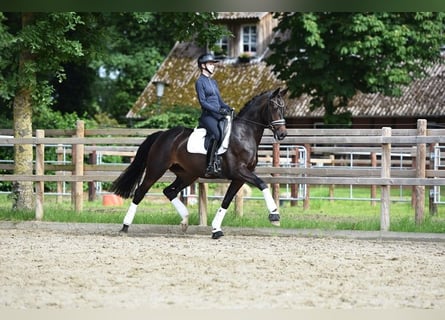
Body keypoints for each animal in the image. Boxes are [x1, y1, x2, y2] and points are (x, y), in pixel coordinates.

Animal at [109, 86, 286, 239]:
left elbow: (227, 200)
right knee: (140, 192)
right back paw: (125, 226)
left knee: (169, 191)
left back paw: (185, 220)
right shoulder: (239, 171)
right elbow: (262, 184)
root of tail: (162, 135)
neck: (244, 133)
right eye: (273, 107)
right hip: (156, 169)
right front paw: (275, 216)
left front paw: (216, 229)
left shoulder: (239, 178)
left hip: (187, 175)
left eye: (283, 108)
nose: (283, 134)